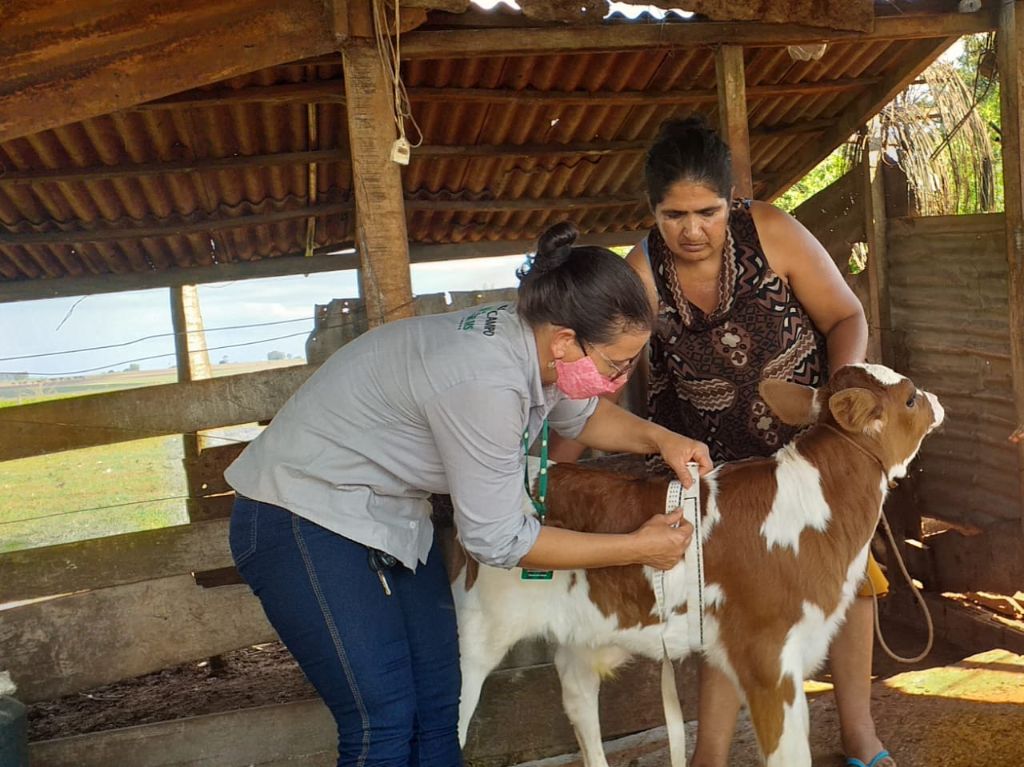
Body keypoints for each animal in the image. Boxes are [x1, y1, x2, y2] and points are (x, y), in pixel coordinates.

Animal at [450, 364, 942, 765]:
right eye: (910, 398)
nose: (937, 400)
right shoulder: (765, 656)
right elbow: (788, 751)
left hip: (579, 636)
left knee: (580, 707)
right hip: (471, 637)